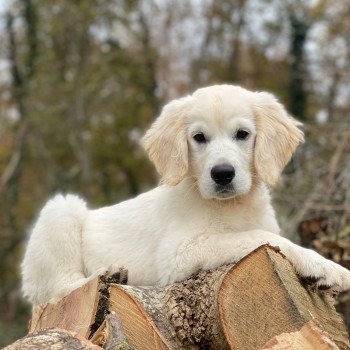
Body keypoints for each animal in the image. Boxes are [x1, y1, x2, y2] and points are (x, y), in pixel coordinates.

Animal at [21, 85, 350, 306]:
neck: (231, 205)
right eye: (199, 138)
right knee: (59, 289)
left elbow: (265, 235)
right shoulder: (179, 253)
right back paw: (108, 274)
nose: (222, 174)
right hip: (61, 211)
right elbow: (260, 238)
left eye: (242, 134)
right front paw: (328, 268)